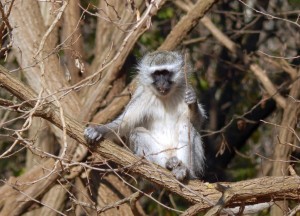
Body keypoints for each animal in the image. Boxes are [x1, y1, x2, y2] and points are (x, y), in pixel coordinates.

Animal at [84, 51, 206, 181]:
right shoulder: (142, 96)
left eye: (165, 73)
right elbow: (125, 123)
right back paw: (167, 165)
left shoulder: (184, 90)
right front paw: (98, 130)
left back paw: (184, 170)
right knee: (138, 132)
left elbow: (197, 122)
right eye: (157, 74)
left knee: (186, 124)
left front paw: (192, 102)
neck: (164, 97)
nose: (162, 82)